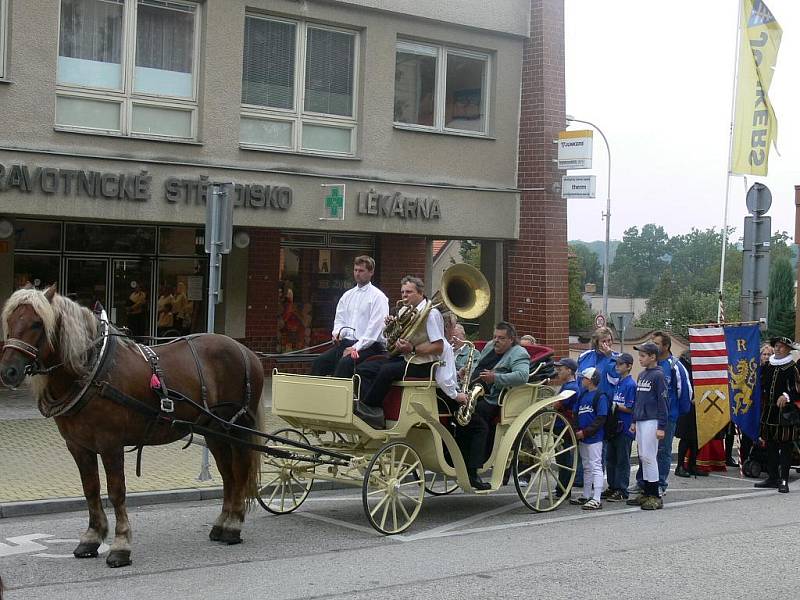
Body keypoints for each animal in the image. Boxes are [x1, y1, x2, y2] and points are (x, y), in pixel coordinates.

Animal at [1, 286, 268, 568]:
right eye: (9, 320)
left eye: (37, 323)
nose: (8, 371)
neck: (92, 371)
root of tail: (246, 350)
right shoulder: (79, 446)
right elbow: (90, 490)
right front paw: (91, 538)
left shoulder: (111, 444)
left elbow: (116, 492)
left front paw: (120, 545)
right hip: (214, 431)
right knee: (228, 474)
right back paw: (221, 524)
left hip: (238, 428)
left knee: (240, 471)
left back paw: (234, 526)